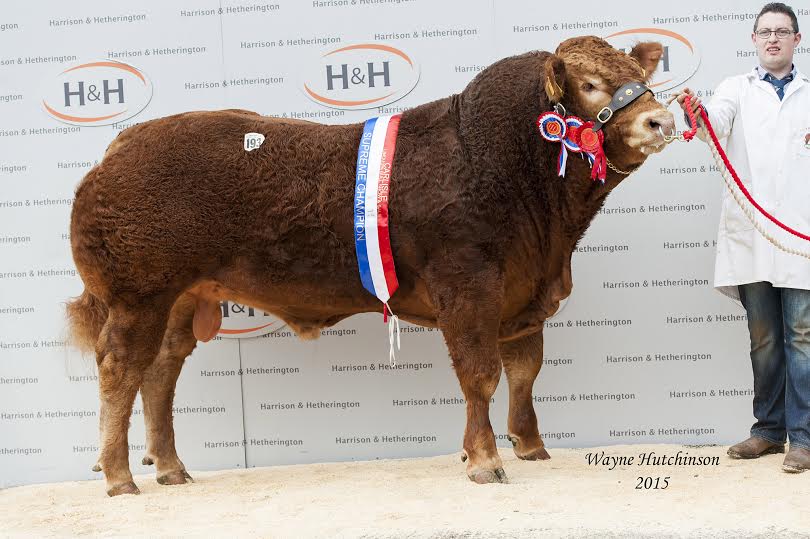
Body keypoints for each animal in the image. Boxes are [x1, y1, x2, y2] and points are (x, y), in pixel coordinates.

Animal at [66, 36, 674, 496]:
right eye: (589, 84)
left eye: (638, 75)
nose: (660, 120)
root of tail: (126, 142)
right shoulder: (468, 284)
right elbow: (481, 373)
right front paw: (484, 461)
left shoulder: (523, 293)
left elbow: (526, 372)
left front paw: (531, 447)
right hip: (138, 295)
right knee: (120, 369)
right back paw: (119, 477)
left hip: (181, 298)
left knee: (160, 372)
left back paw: (171, 468)